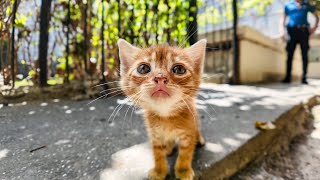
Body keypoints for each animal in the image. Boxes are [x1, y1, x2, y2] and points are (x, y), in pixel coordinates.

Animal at [117, 39, 205, 180]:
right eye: (143, 68)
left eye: (179, 69)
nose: (160, 77)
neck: (166, 116)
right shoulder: (154, 134)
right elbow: (157, 153)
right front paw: (159, 171)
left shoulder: (188, 131)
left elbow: (185, 152)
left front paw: (183, 170)